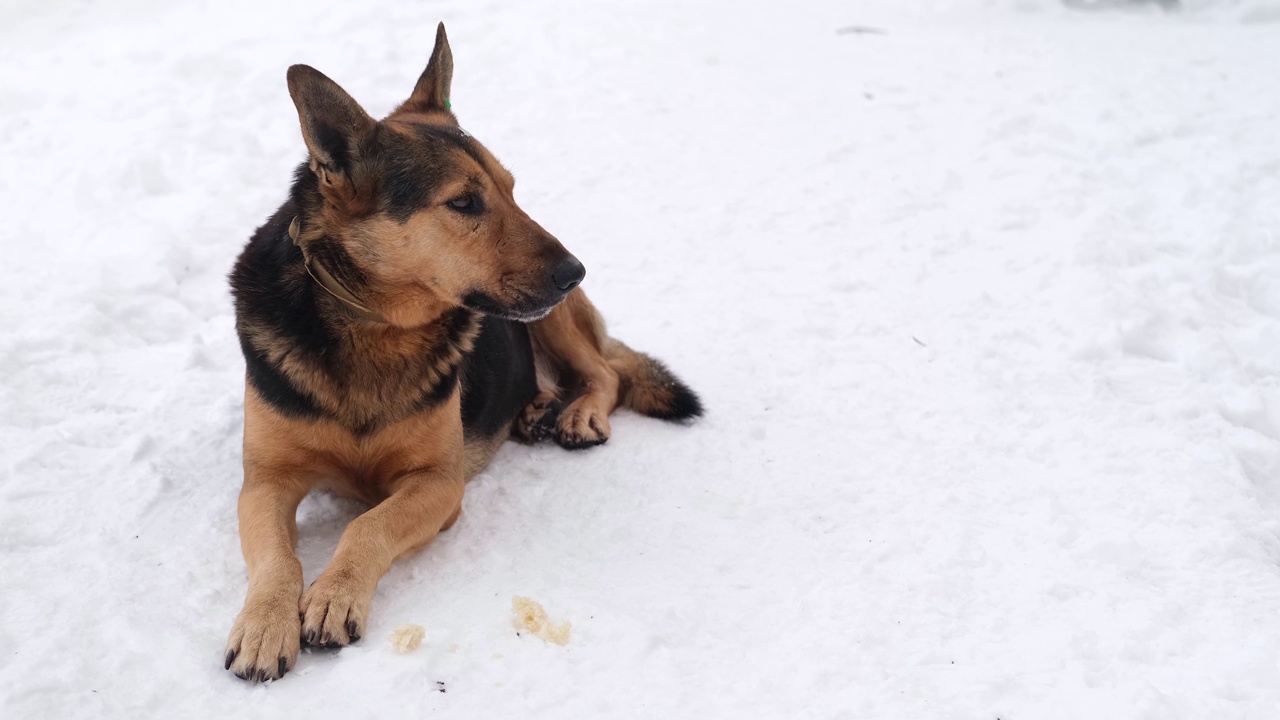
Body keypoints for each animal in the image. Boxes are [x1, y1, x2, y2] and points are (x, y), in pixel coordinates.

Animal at [221, 25, 701, 681]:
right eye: (465, 203)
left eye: (512, 190)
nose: (576, 271)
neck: (375, 325)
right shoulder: (265, 481)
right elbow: (275, 557)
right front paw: (266, 622)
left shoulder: (438, 484)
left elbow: (367, 525)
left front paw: (335, 594)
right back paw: (535, 408)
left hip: (551, 321)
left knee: (604, 371)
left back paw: (575, 412)